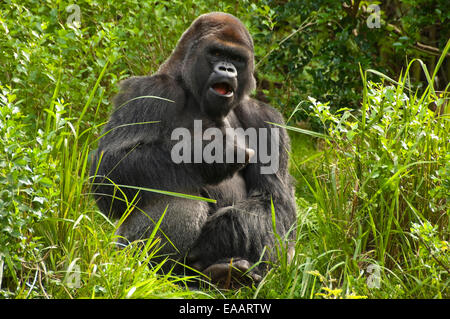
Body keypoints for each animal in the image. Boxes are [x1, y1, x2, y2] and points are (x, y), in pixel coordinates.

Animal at [90, 12, 298, 288]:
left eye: (236, 59)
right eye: (216, 52)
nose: (227, 69)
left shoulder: (266, 119)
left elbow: (275, 202)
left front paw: (217, 238)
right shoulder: (150, 91)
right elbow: (111, 171)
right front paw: (210, 153)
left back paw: (223, 273)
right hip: (123, 252)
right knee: (178, 195)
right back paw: (164, 274)